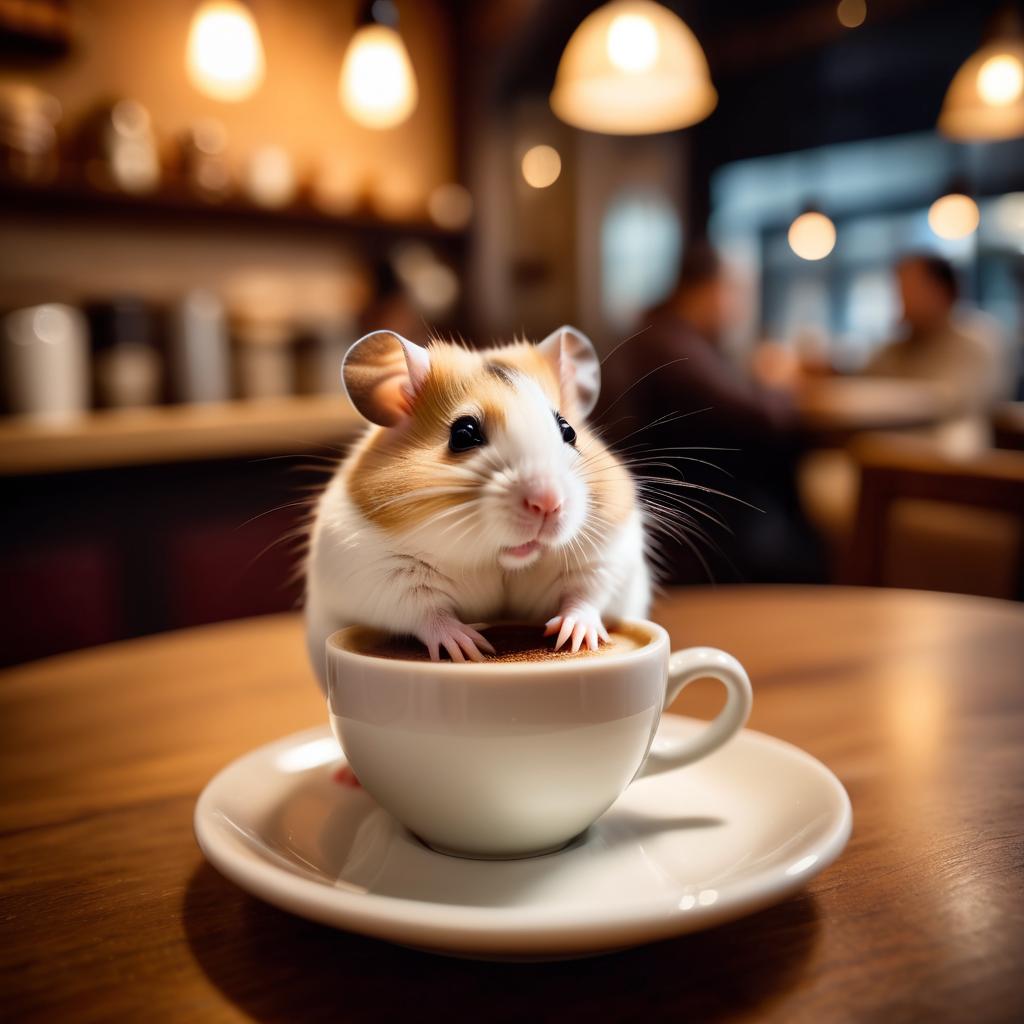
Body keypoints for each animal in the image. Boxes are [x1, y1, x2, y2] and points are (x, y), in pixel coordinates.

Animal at [301, 323, 647, 692]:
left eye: (568, 431)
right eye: (463, 434)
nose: (548, 504)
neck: (503, 560)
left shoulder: (608, 554)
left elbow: (586, 592)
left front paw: (574, 636)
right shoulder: (381, 573)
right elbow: (425, 611)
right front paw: (470, 646)